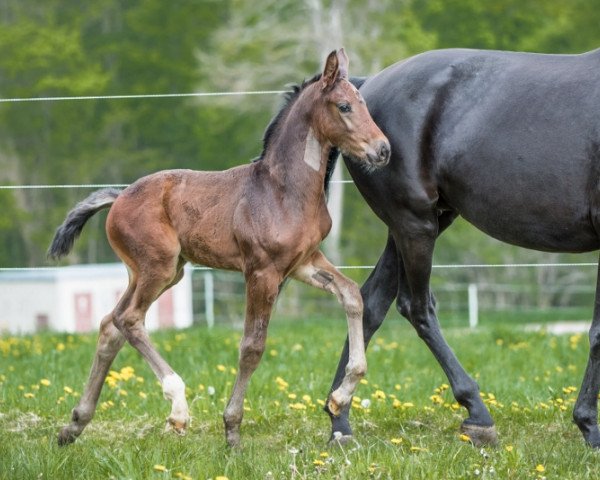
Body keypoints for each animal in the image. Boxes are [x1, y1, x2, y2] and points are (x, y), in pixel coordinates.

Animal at [49, 49, 392, 446]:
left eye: (363, 103)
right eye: (344, 106)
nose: (383, 150)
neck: (284, 190)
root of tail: (118, 197)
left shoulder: (303, 262)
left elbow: (352, 295)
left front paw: (340, 397)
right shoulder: (262, 271)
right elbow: (252, 346)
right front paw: (232, 430)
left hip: (160, 272)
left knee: (109, 325)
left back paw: (74, 425)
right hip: (158, 267)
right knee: (129, 319)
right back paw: (177, 409)